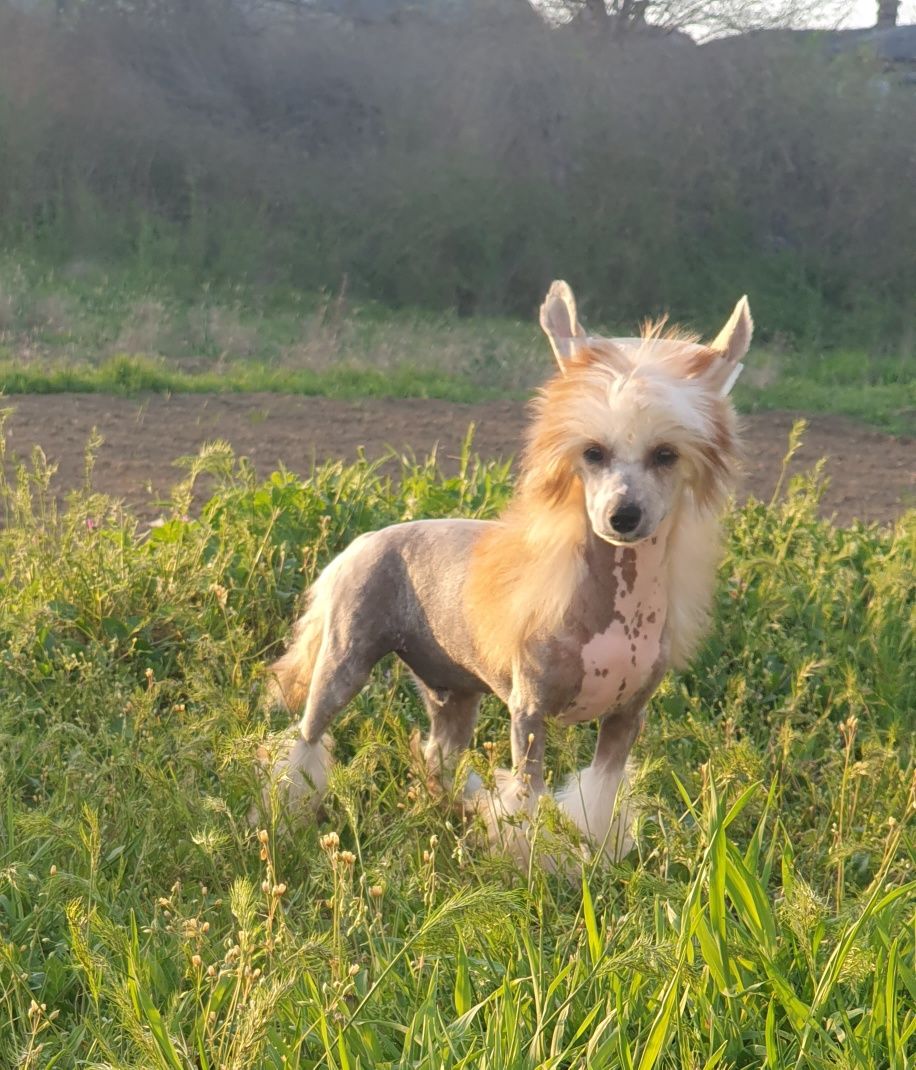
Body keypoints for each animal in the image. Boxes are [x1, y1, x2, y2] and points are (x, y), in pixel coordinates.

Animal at [255, 280, 753, 864]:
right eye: (593, 452)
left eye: (666, 454)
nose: (622, 516)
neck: (613, 608)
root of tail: (360, 543)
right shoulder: (529, 715)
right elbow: (528, 801)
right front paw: (527, 866)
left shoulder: (625, 720)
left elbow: (600, 799)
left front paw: (598, 860)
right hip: (343, 663)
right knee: (307, 741)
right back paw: (284, 817)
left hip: (452, 694)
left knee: (437, 757)